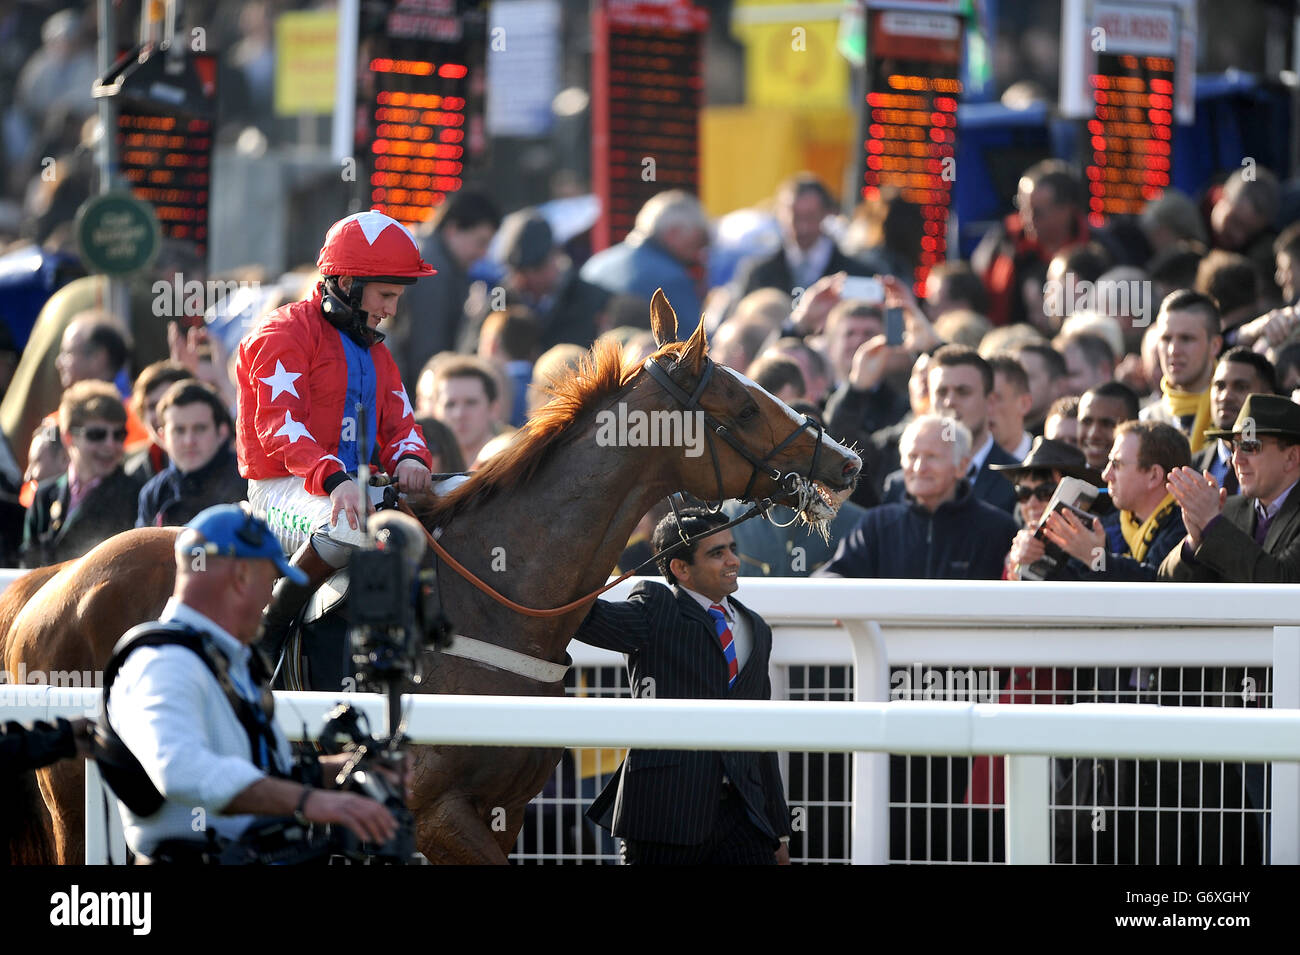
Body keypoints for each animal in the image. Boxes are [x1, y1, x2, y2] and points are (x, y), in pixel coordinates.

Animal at [2, 293, 863, 867]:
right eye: (741, 405)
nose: (848, 462)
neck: (492, 596)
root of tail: (53, 581)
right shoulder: (432, 808)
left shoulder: (501, 806)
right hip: (71, 779)